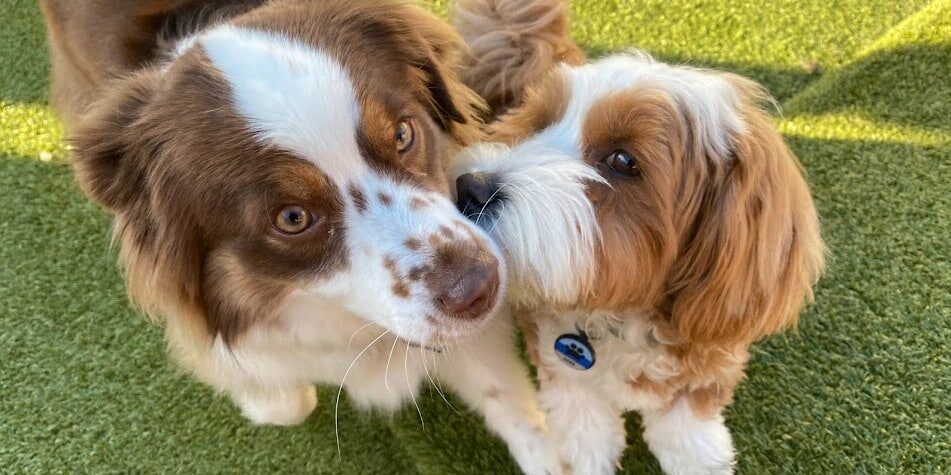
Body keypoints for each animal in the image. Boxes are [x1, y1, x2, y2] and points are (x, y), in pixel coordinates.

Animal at [44, 1, 560, 474]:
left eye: (402, 133)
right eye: (292, 217)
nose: (480, 287)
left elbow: (508, 398)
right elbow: (279, 393)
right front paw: (264, 398)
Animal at [452, 1, 824, 474]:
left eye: (624, 160)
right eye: (538, 125)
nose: (470, 188)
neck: (621, 312)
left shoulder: (707, 349)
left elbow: (685, 430)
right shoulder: (563, 370)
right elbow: (587, 433)